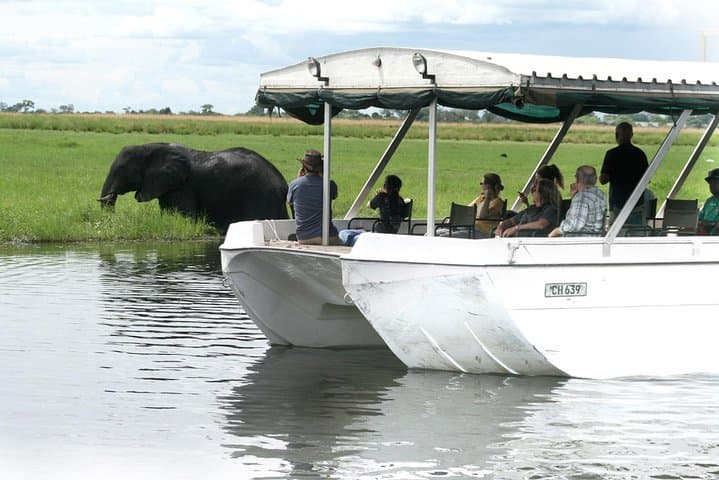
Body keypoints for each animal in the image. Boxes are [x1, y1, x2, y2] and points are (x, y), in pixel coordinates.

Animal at [99, 143, 289, 229]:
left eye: (123, 170)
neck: (151, 147)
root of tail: (283, 185)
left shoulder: (184, 187)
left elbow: (186, 216)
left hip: (261, 196)